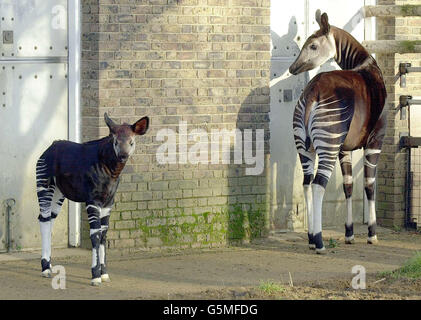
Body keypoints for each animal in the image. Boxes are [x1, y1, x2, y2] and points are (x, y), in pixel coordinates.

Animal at [35, 112, 149, 284]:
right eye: (115, 141)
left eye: (132, 142)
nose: (123, 156)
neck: (110, 171)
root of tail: (50, 148)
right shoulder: (93, 201)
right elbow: (95, 235)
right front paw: (95, 275)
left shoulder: (108, 203)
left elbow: (103, 234)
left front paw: (104, 273)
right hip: (44, 185)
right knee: (44, 219)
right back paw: (45, 268)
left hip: (59, 192)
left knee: (49, 220)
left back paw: (49, 264)